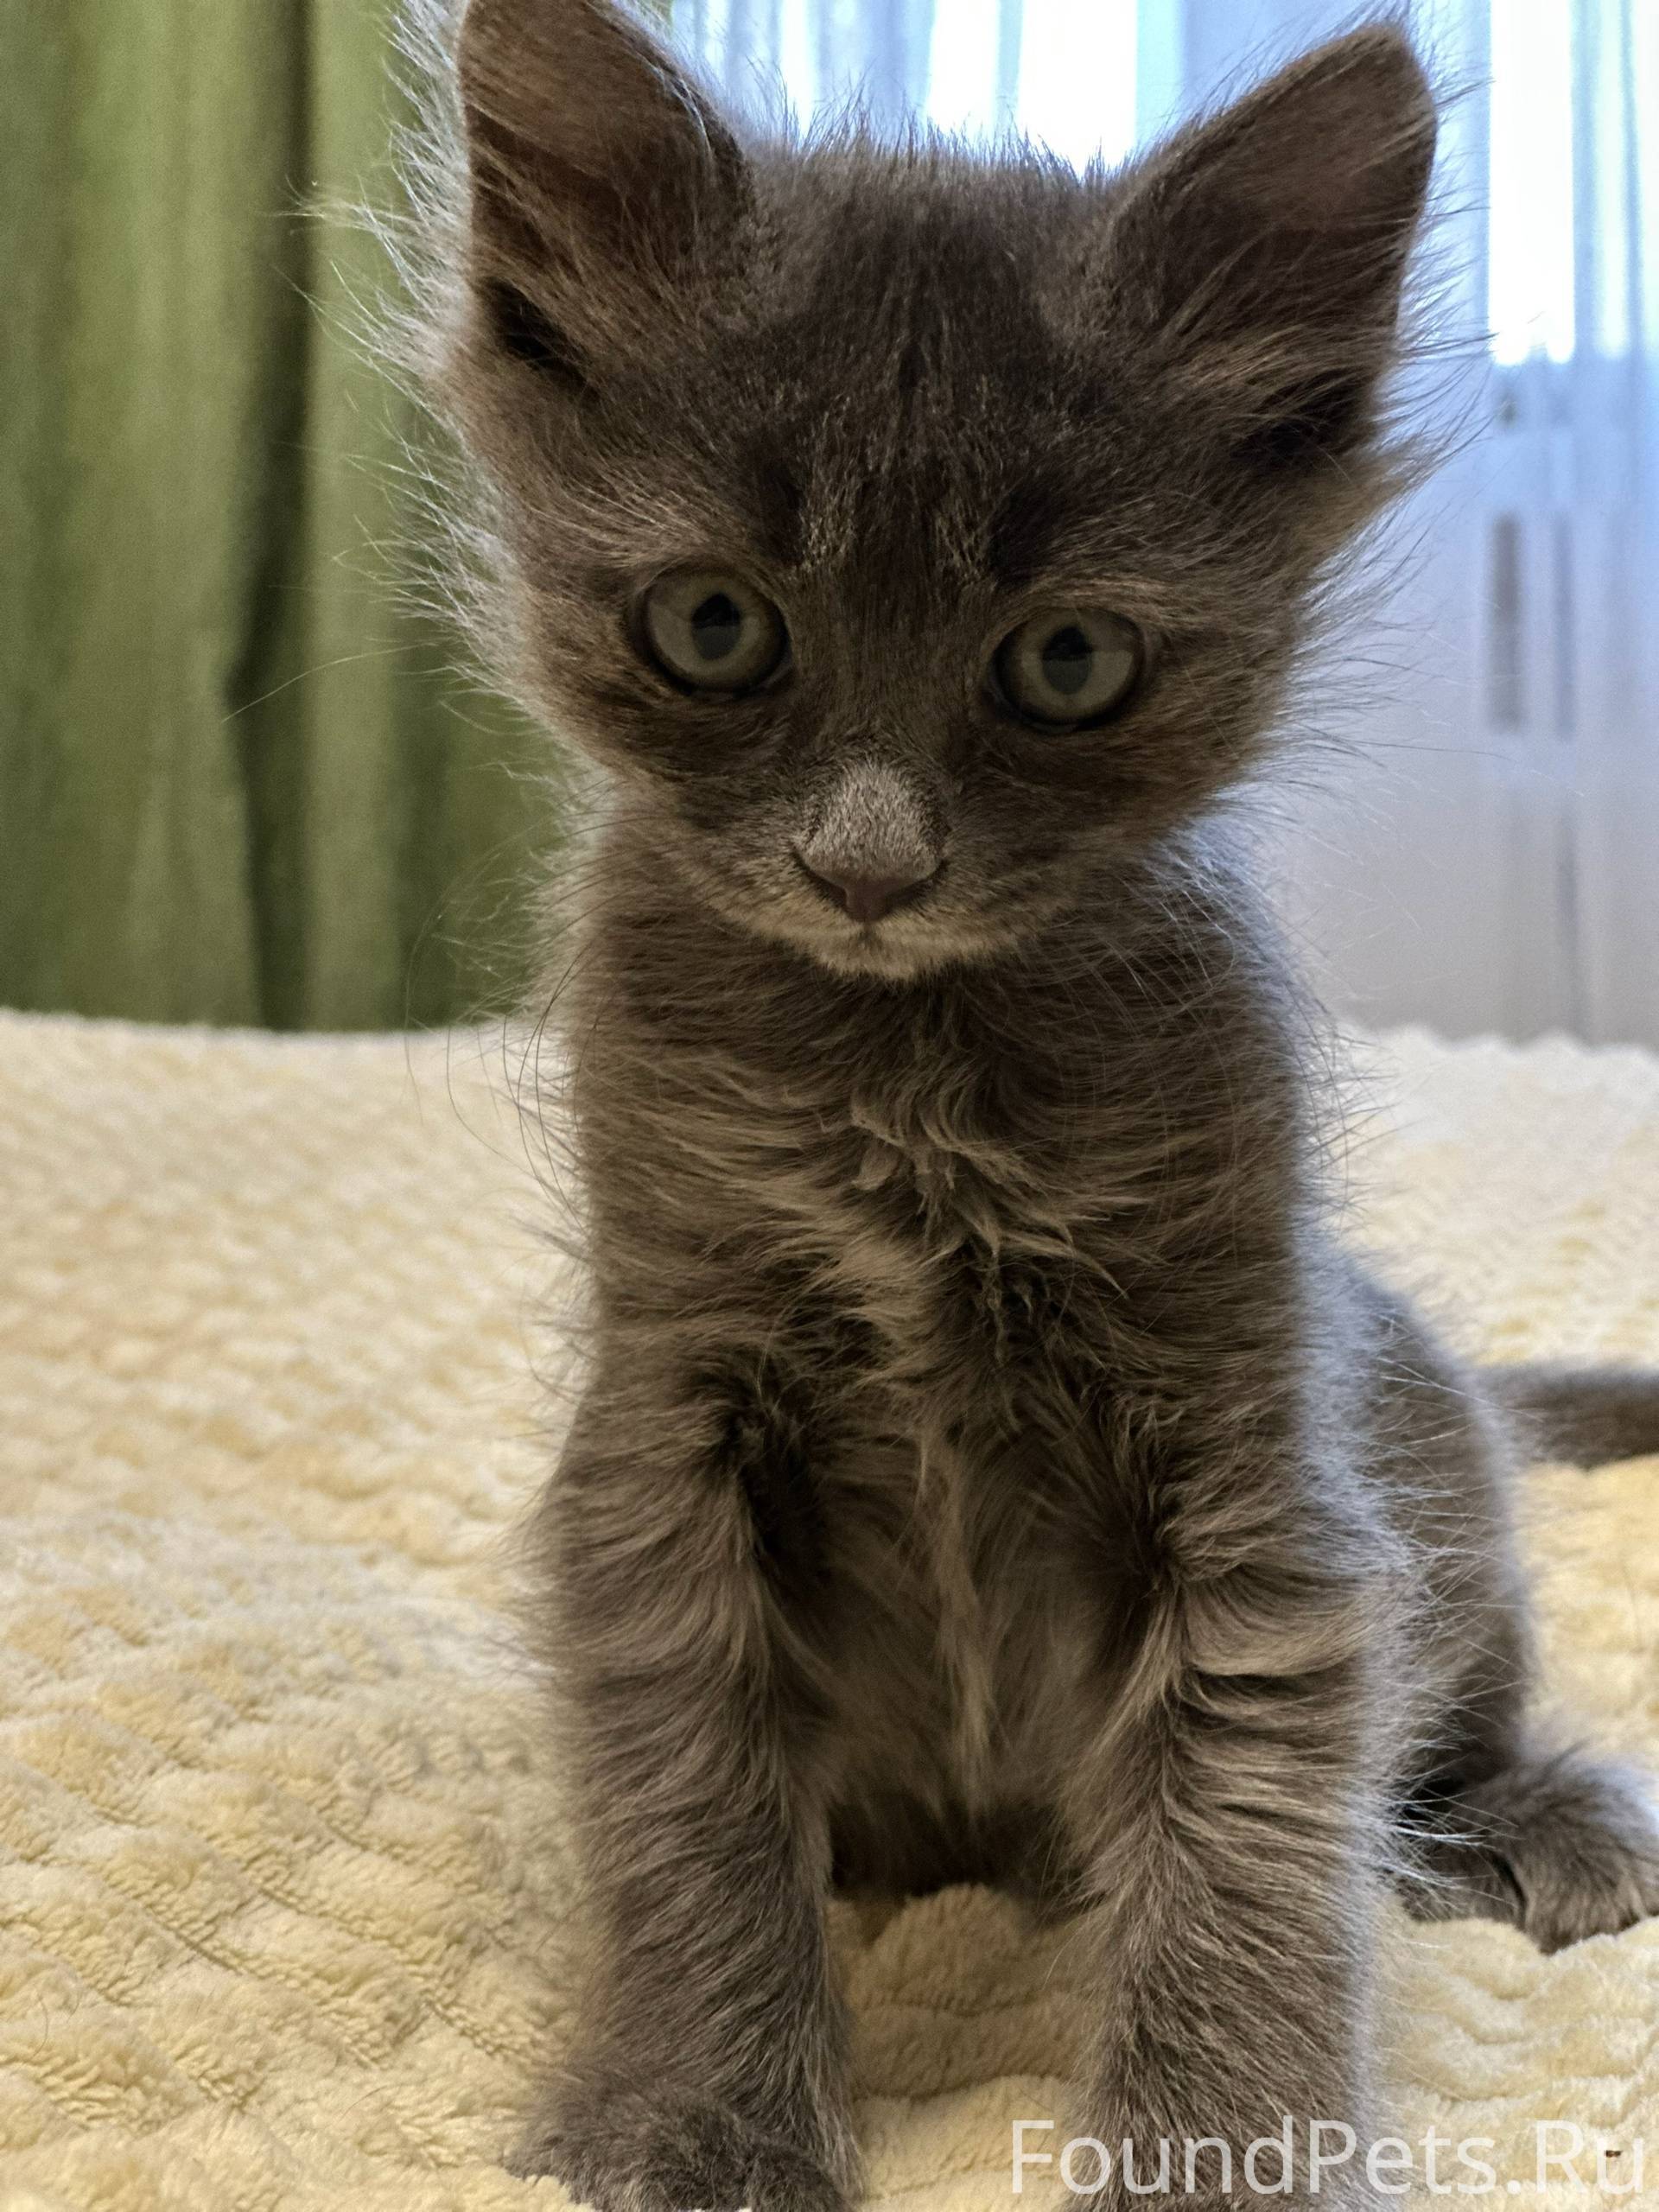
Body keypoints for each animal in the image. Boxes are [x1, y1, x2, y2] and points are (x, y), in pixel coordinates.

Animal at [399, 3, 1659, 2206]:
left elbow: (1256, 1810)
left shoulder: (1247, 1434)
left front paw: (1225, 2144)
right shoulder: (670, 1410)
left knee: (1462, 1692)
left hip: (1424, 1436)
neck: (909, 1088)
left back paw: (1535, 1813)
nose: (870, 864)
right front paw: (699, 2111)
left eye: (1066, 661)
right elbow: (682, 1782)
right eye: (713, 626)